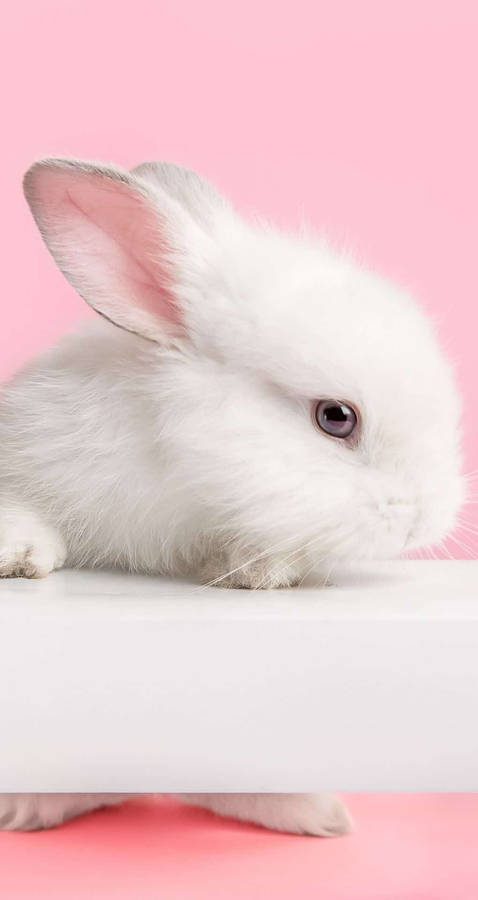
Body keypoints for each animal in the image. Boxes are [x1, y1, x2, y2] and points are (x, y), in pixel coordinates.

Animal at [0, 157, 464, 835]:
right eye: (335, 417)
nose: (425, 519)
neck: (182, 479)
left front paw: (261, 572)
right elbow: (22, 512)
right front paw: (22, 557)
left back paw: (319, 815)